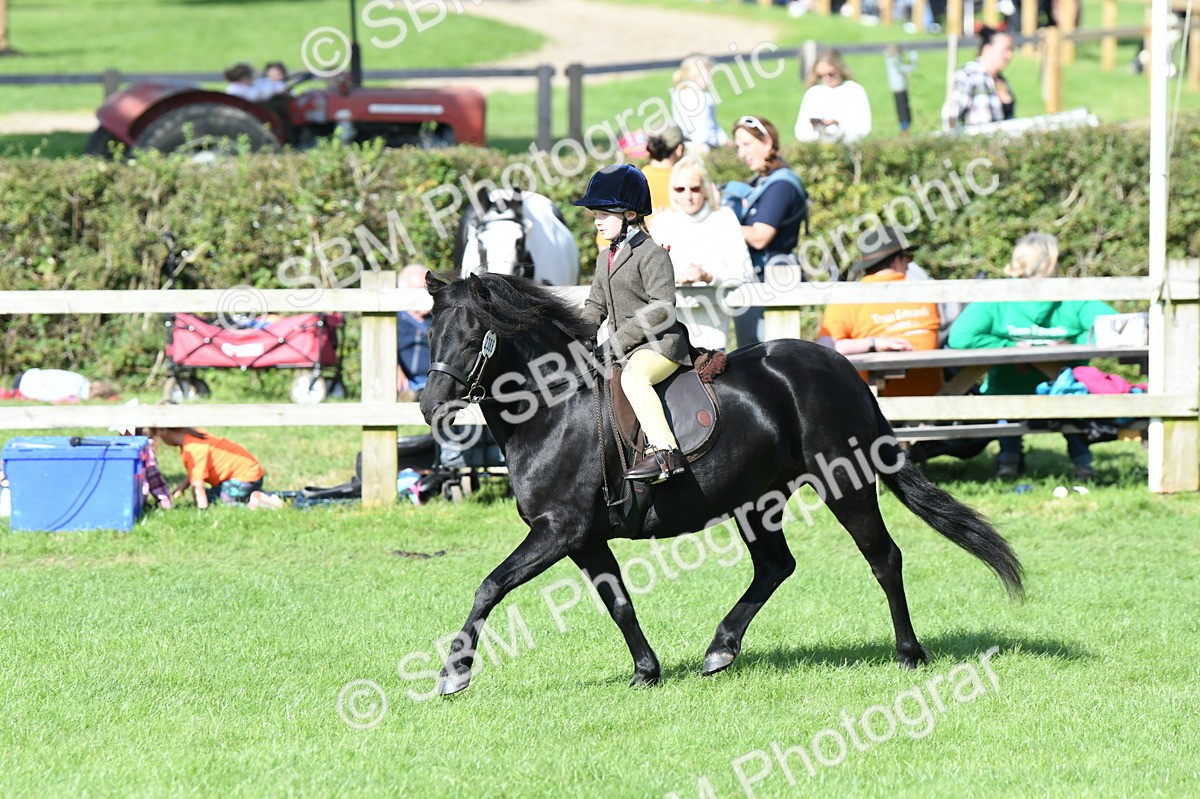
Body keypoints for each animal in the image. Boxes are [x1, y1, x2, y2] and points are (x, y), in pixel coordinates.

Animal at [419, 273, 1024, 696]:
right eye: (430, 333)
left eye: (472, 338)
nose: (429, 406)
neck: (554, 409)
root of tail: (839, 367)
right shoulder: (583, 539)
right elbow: (618, 602)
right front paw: (646, 672)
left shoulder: (557, 531)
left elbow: (490, 587)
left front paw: (454, 675)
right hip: (756, 500)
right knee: (776, 566)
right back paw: (721, 650)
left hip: (843, 483)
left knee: (884, 558)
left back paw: (908, 653)